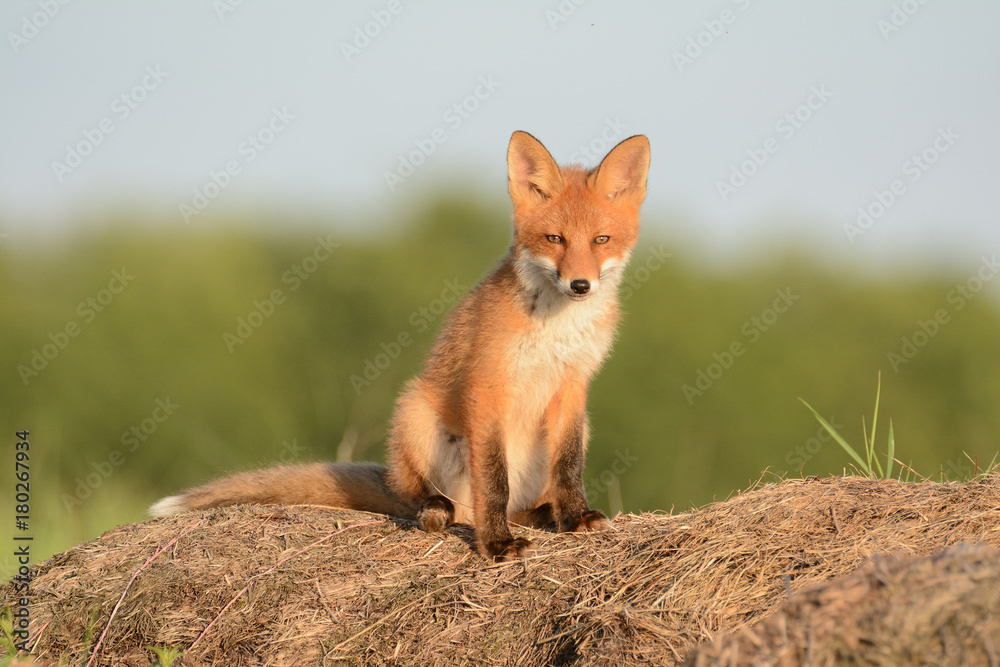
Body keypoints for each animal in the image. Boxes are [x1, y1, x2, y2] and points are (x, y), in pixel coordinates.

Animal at [150, 130, 651, 561]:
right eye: (555, 239)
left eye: (601, 240)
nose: (580, 285)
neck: (557, 327)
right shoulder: (489, 386)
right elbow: (494, 482)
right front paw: (496, 544)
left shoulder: (573, 387)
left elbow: (568, 468)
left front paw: (575, 517)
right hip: (415, 412)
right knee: (424, 497)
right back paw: (437, 511)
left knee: (519, 505)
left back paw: (542, 515)